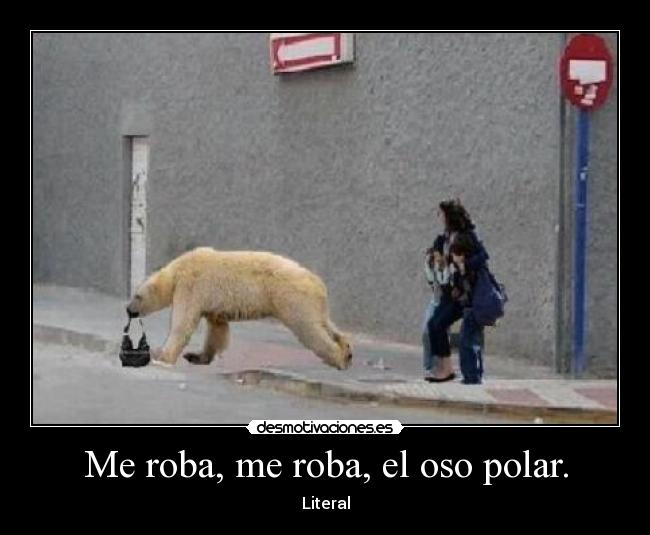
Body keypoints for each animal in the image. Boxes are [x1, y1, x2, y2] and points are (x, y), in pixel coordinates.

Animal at [126, 247, 353, 370]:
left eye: (137, 296)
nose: (128, 310)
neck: (178, 269)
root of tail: (317, 281)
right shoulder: (213, 305)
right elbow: (217, 329)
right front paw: (198, 356)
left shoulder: (191, 285)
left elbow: (183, 322)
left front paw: (160, 354)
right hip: (313, 302)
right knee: (325, 323)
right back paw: (347, 350)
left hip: (292, 298)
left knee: (309, 328)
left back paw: (338, 359)